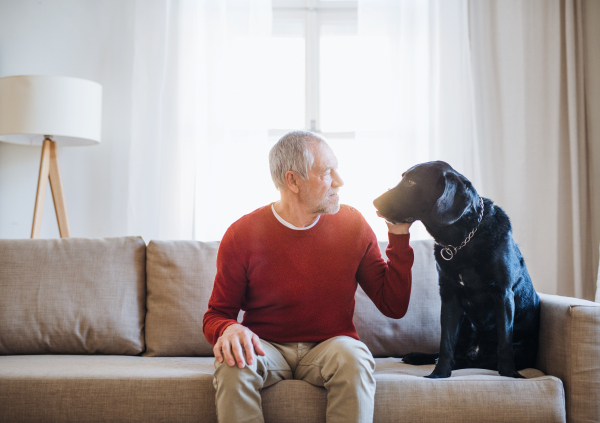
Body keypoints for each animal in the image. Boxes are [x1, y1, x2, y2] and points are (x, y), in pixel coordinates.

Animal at [376, 161, 540, 380]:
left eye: (411, 182)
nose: (374, 202)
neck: (460, 242)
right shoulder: (449, 297)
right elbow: (446, 344)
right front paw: (438, 374)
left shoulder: (503, 294)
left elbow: (504, 342)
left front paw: (510, 375)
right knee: (456, 353)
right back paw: (420, 357)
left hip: (519, 347)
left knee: (482, 359)